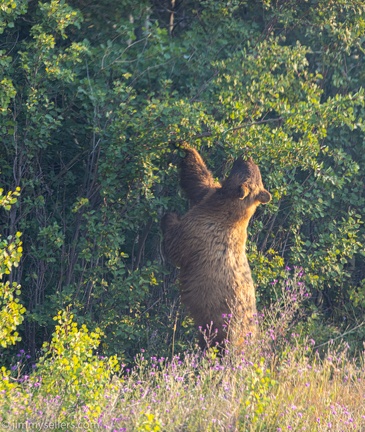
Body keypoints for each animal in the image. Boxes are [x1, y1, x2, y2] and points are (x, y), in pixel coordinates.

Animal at [162, 145, 270, 352]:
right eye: (255, 168)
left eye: (247, 168)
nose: (247, 155)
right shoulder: (209, 196)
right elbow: (199, 180)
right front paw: (183, 145)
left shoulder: (202, 231)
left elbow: (175, 244)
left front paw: (169, 216)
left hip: (224, 327)